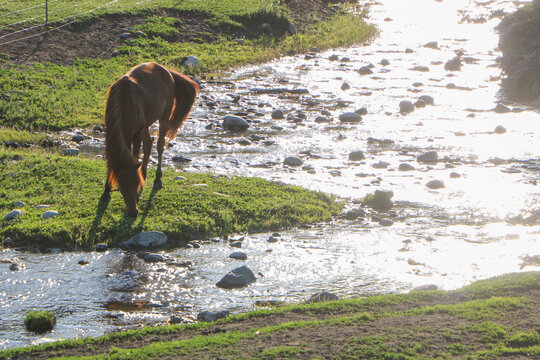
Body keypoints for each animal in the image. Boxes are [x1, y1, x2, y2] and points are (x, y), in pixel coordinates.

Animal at [98, 62, 198, 217]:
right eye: (122, 186)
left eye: (136, 184)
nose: (133, 212)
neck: (124, 101)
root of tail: (166, 71)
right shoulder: (110, 133)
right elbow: (112, 162)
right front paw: (106, 192)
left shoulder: (136, 133)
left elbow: (135, 154)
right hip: (146, 124)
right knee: (149, 144)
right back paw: (145, 172)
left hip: (164, 116)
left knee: (159, 145)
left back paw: (158, 178)